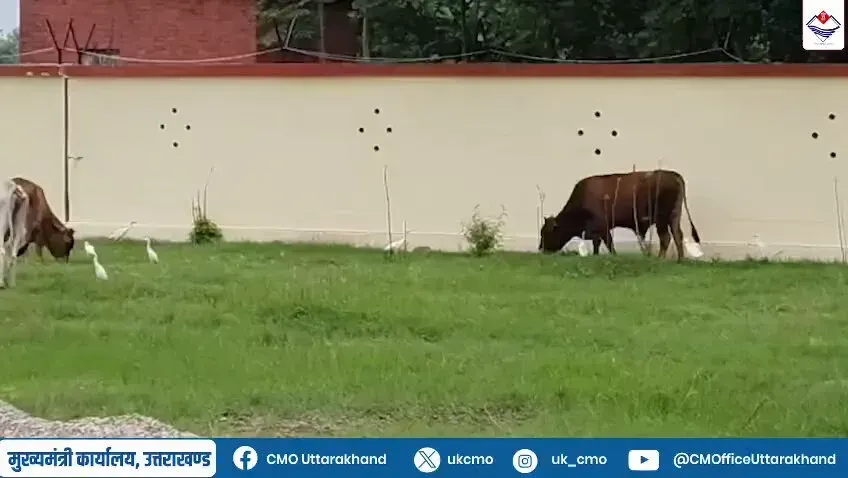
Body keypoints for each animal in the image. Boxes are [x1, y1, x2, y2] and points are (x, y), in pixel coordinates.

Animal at [539, 169, 701, 261]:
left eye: (546, 233)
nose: (542, 249)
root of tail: (674, 175)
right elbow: (598, 244)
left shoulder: (603, 227)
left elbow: (608, 244)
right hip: (673, 217)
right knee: (677, 235)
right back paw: (680, 259)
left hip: (662, 219)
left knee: (666, 237)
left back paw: (660, 259)